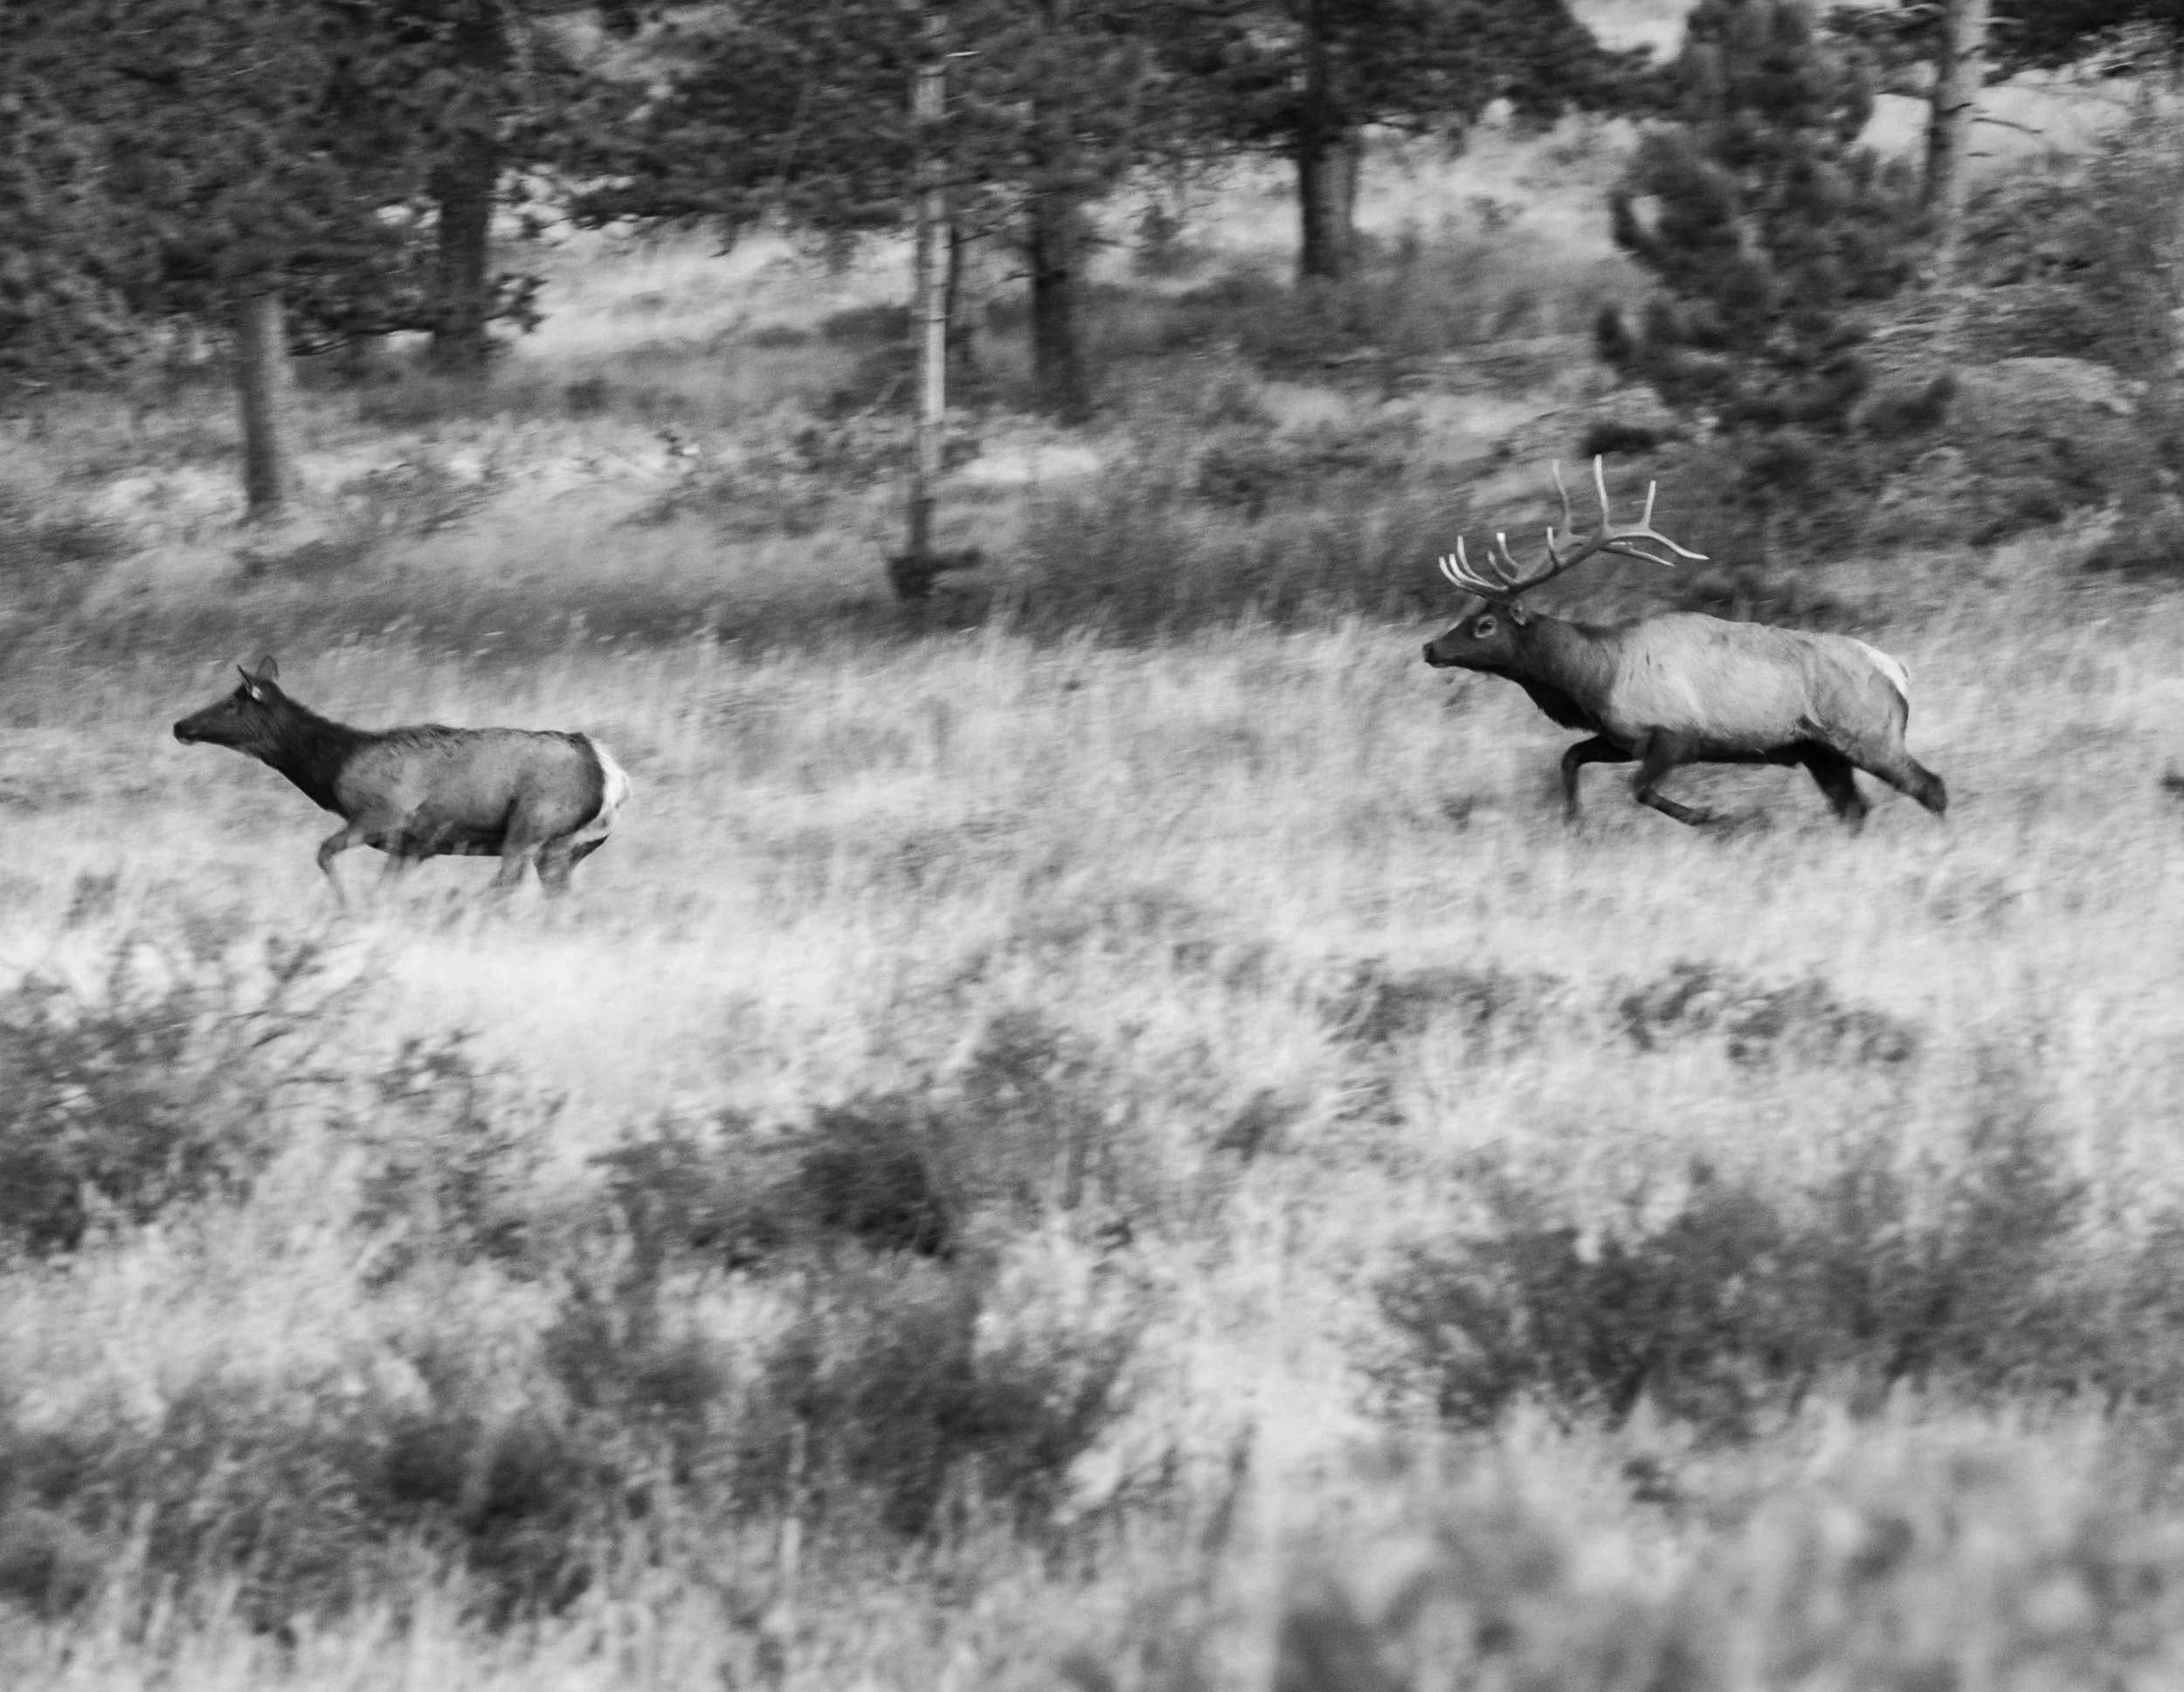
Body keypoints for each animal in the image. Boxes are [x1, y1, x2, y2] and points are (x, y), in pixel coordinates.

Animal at [174, 657, 632, 901]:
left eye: (232, 703)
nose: (181, 725)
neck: (331, 768)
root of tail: (611, 774)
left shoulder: (382, 814)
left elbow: (323, 853)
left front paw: (345, 905)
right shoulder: (412, 847)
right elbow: (382, 890)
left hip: (531, 822)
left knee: (505, 882)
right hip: (567, 846)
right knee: (558, 896)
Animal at [1422, 459, 1947, 829]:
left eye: (1484, 625)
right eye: (1468, 616)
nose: (1430, 649)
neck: (1592, 678)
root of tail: (1897, 671)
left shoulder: (1676, 734)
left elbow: (1638, 789)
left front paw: (1714, 817)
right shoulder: (1621, 739)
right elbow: (1570, 758)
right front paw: (1574, 823)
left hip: (1868, 735)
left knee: (1931, 787)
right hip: (1822, 753)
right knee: (1855, 809)